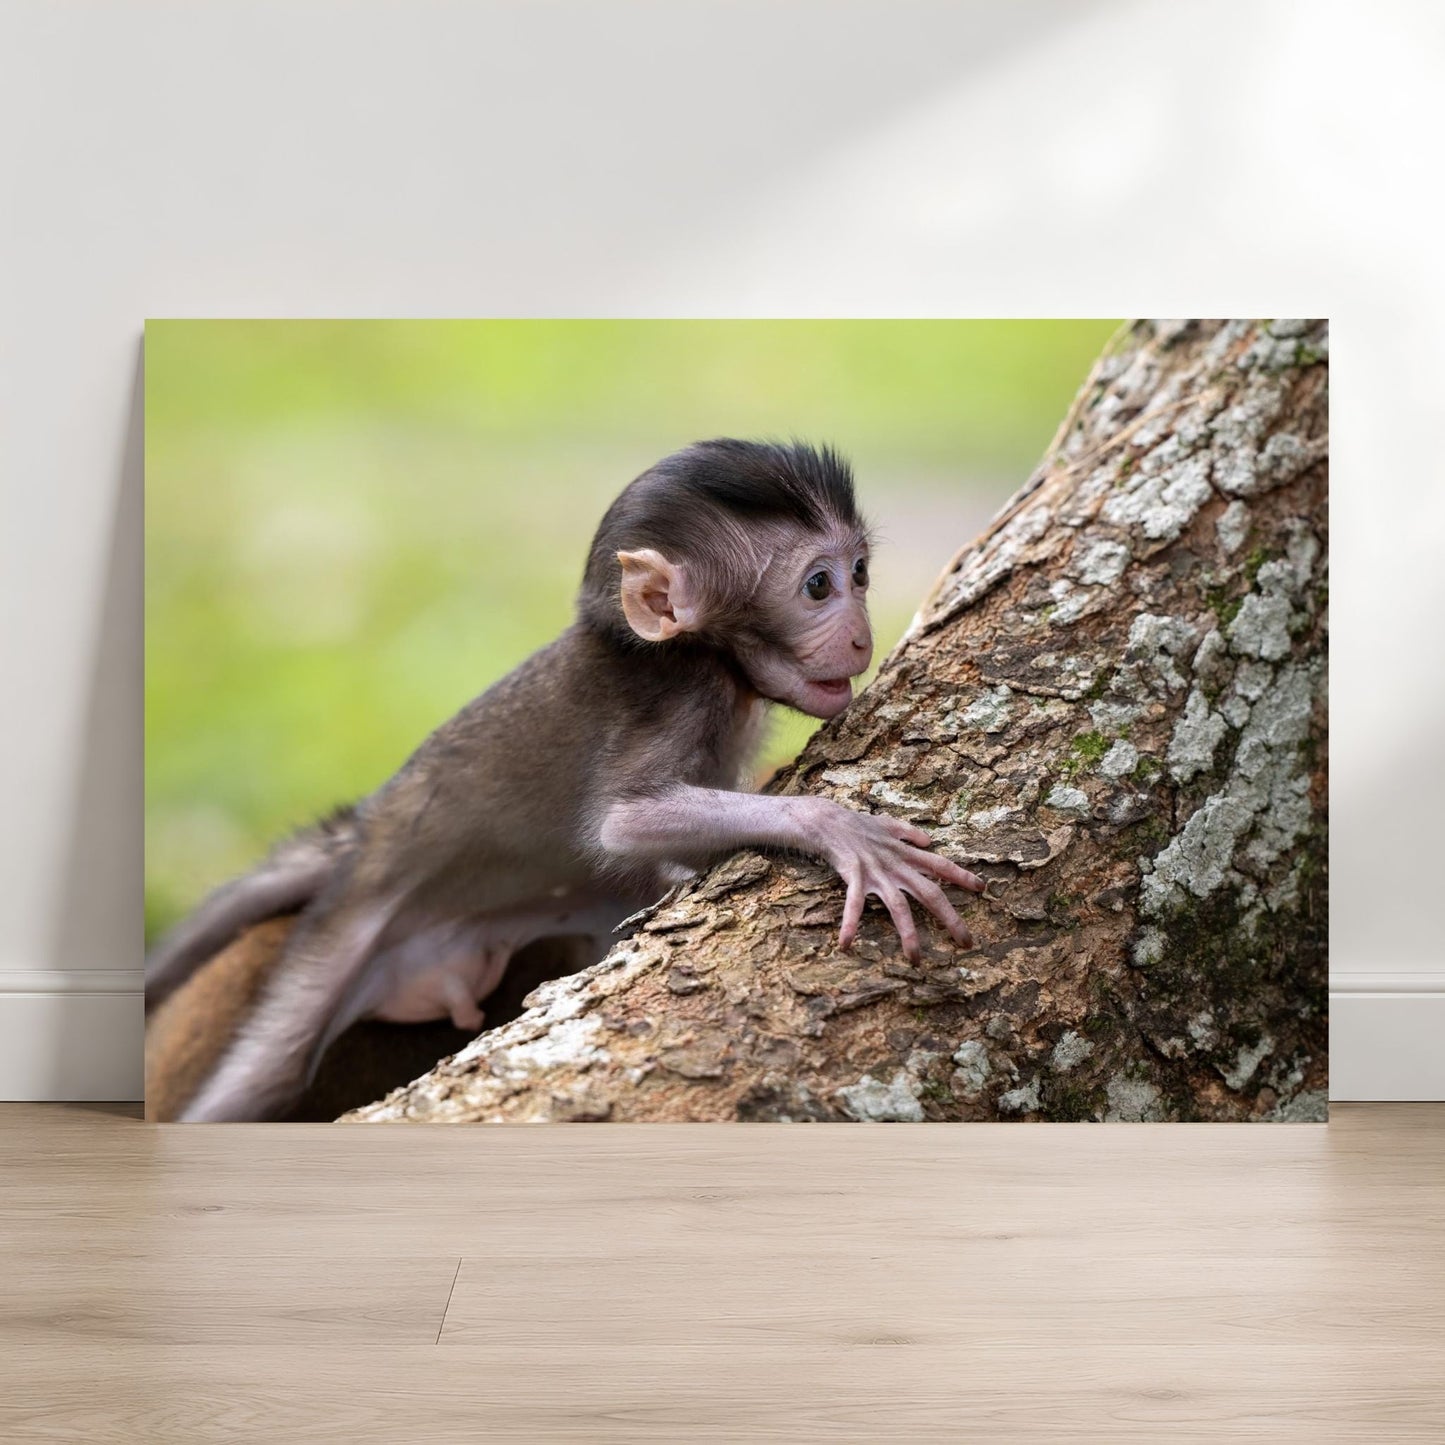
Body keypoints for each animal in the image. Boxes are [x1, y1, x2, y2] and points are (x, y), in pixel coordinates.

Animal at [147, 439, 985, 1121]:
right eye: (817, 586)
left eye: (860, 572)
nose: (861, 635)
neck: (697, 656)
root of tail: (367, 827)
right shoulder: (678, 696)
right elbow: (623, 823)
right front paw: (841, 831)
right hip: (341, 928)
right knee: (265, 1075)